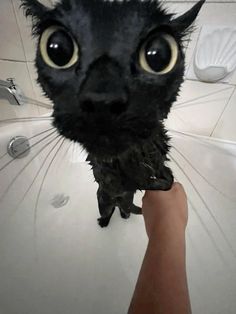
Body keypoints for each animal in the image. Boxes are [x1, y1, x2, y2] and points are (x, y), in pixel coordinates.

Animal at [20, 0, 205, 227]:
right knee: (109, 210)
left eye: (158, 55)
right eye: (57, 50)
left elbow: (166, 180)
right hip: (103, 200)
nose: (103, 100)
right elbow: (137, 180)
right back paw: (104, 222)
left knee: (125, 209)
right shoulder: (109, 173)